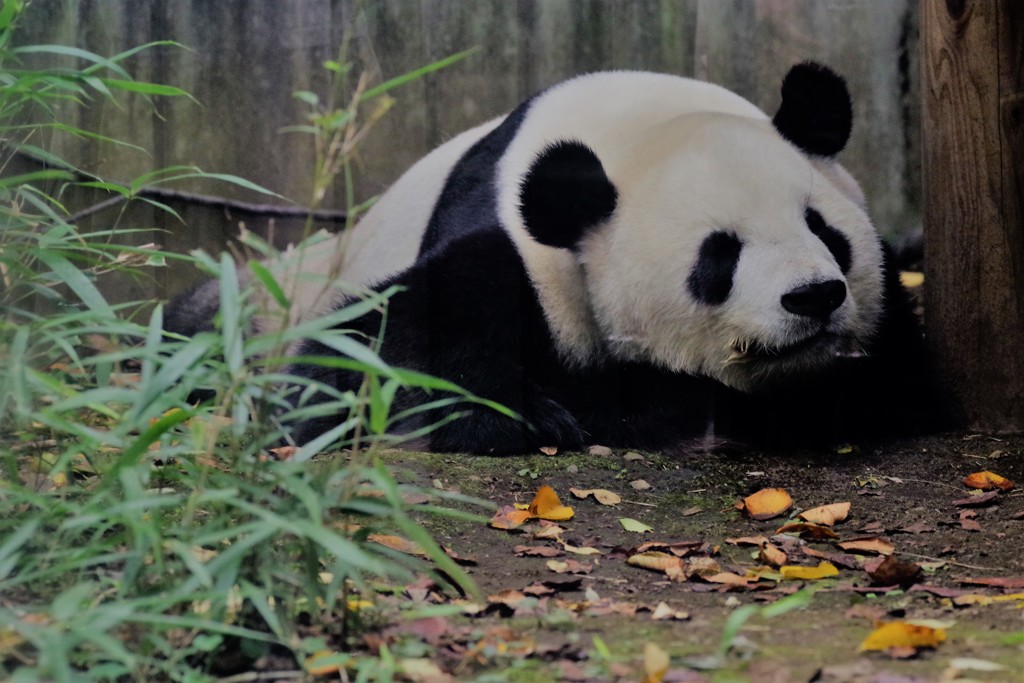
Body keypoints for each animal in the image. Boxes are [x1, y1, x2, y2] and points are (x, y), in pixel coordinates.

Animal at [165, 62, 937, 454]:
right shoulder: (512, 236)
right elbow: (369, 354)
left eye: (824, 230)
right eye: (719, 257)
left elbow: (893, 383)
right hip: (267, 293)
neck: (632, 134)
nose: (813, 296)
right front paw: (532, 416)